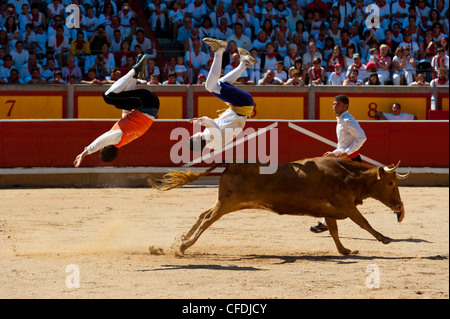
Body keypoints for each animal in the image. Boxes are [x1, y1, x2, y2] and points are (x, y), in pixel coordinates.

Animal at [149, 159, 410, 256]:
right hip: (228, 202)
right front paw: (385, 238)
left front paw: (345, 250)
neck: (349, 176)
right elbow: (363, 222)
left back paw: (178, 241)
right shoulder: (345, 205)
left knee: (203, 214)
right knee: (207, 220)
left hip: (225, 201)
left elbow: (335, 231)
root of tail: (231, 163)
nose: (399, 206)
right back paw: (183, 246)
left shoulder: (331, 210)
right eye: (391, 183)